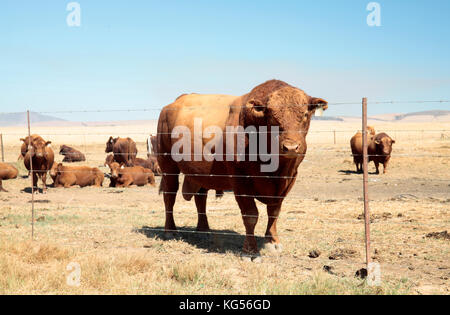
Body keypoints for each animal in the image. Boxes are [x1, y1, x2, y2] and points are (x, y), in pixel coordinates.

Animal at [156, 80, 326, 256]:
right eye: (272, 116)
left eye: (305, 114)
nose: (291, 147)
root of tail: (174, 103)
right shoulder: (240, 181)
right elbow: (250, 215)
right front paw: (250, 251)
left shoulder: (288, 179)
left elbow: (274, 212)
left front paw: (272, 242)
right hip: (168, 165)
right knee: (169, 196)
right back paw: (170, 231)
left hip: (202, 173)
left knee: (201, 198)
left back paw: (204, 230)